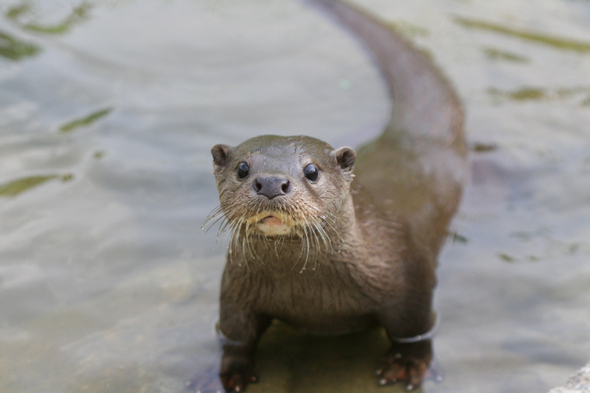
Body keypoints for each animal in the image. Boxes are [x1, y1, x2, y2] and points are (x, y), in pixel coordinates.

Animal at [207, 0, 468, 388]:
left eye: (311, 171)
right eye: (242, 168)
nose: (270, 183)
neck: (313, 297)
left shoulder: (411, 281)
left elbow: (416, 331)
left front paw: (405, 364)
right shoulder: (235, 290)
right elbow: (235, 335)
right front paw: (232, 374)